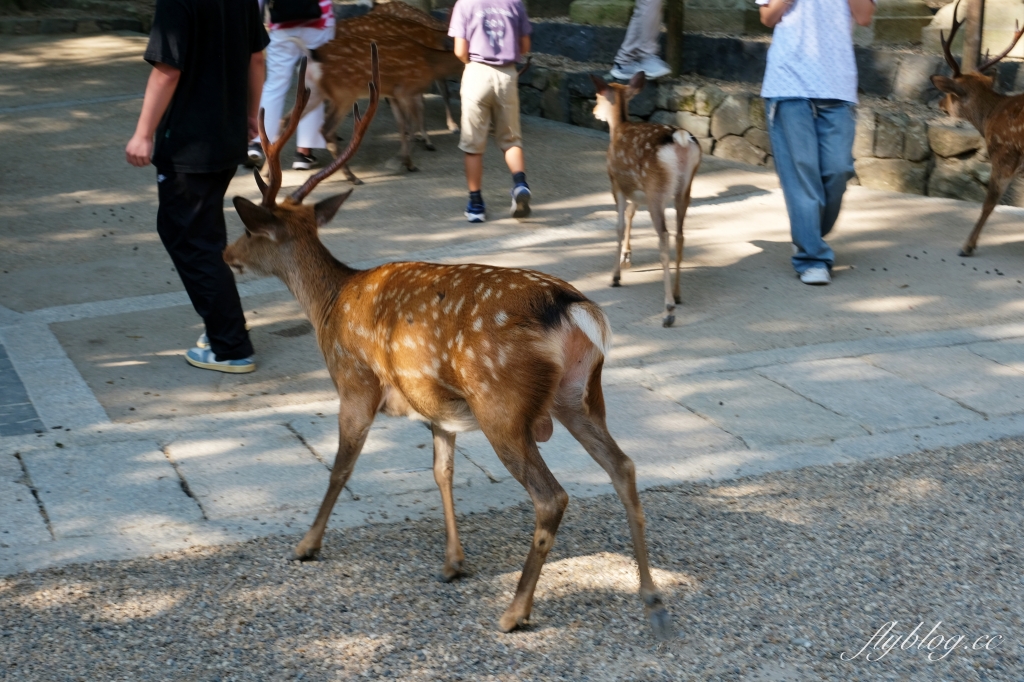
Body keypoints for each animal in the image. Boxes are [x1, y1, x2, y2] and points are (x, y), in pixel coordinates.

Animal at [224, 47, 671, 638]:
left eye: (250, 229)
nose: (227, 254)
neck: (329, 303)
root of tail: (572, 307)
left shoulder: (354, 382)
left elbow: (342, 465)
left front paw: (306, 544)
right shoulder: (435, 405)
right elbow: (442, 471)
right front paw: (453, 562)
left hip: (503, 403)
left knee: (552, 496)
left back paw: (515, 611)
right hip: (580, 394)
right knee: (623, 466)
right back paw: (650, 596)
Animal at [589, 72, 700, 327]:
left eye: (598, 96)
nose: (593, 111)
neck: (618, 129)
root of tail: (681, 140)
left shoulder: (616, 183)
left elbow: (619, 226)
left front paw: (615, 276)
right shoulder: (637, 192)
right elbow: (631, 214)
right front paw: (626, 257)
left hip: (656, 189)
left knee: (664, 236)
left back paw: (668, 310)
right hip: (684, 188)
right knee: (680, 234)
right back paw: (678, 294)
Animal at [933, 0, 1024, 254]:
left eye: (950, 93)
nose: (940, 104)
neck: (989, 117)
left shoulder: (1004, 153)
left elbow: (989, 201)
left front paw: (967, 246)